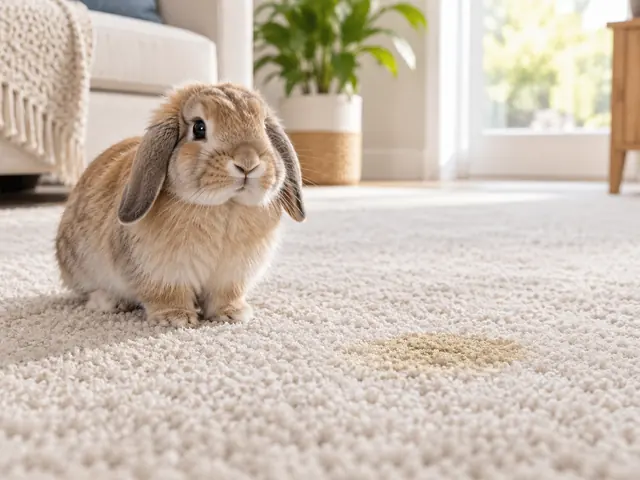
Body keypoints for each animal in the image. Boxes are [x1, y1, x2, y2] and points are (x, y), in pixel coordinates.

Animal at [55, 82, 306, 327]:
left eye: (263, 127)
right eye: (199, 128)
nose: (248, 162)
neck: (225, 206)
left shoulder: (231, 277)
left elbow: (225, 296)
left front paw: (233, 314)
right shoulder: (161, 274)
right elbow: (166, 295)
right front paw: (175, 318)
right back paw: (110, 302)